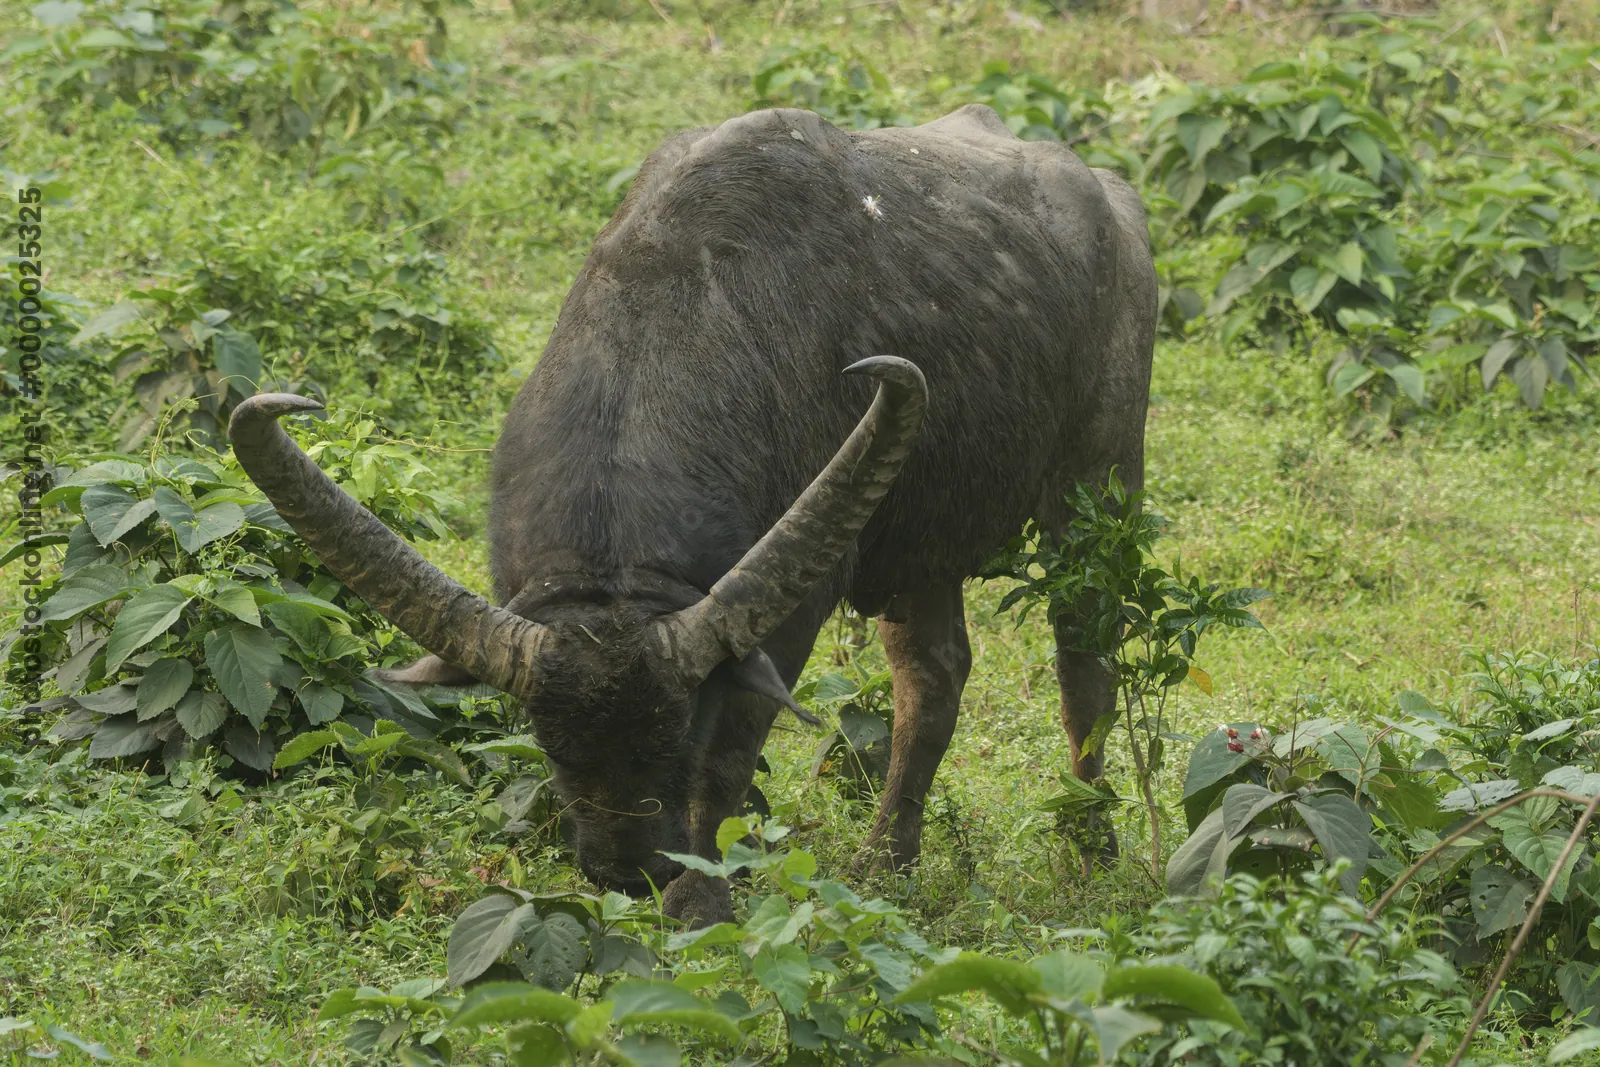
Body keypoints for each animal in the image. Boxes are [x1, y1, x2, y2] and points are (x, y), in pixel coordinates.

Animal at [229, 103, 1156, 923]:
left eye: (674, 730)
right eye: (553, 742)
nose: (626, 869)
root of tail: (1111, 201)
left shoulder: (787, 607)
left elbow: (734, 755)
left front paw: (703, 895)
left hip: (1098, 491)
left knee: (1085, 665)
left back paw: (1092, 845)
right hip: (916, 545)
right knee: (934, 676)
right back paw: (885, 862)